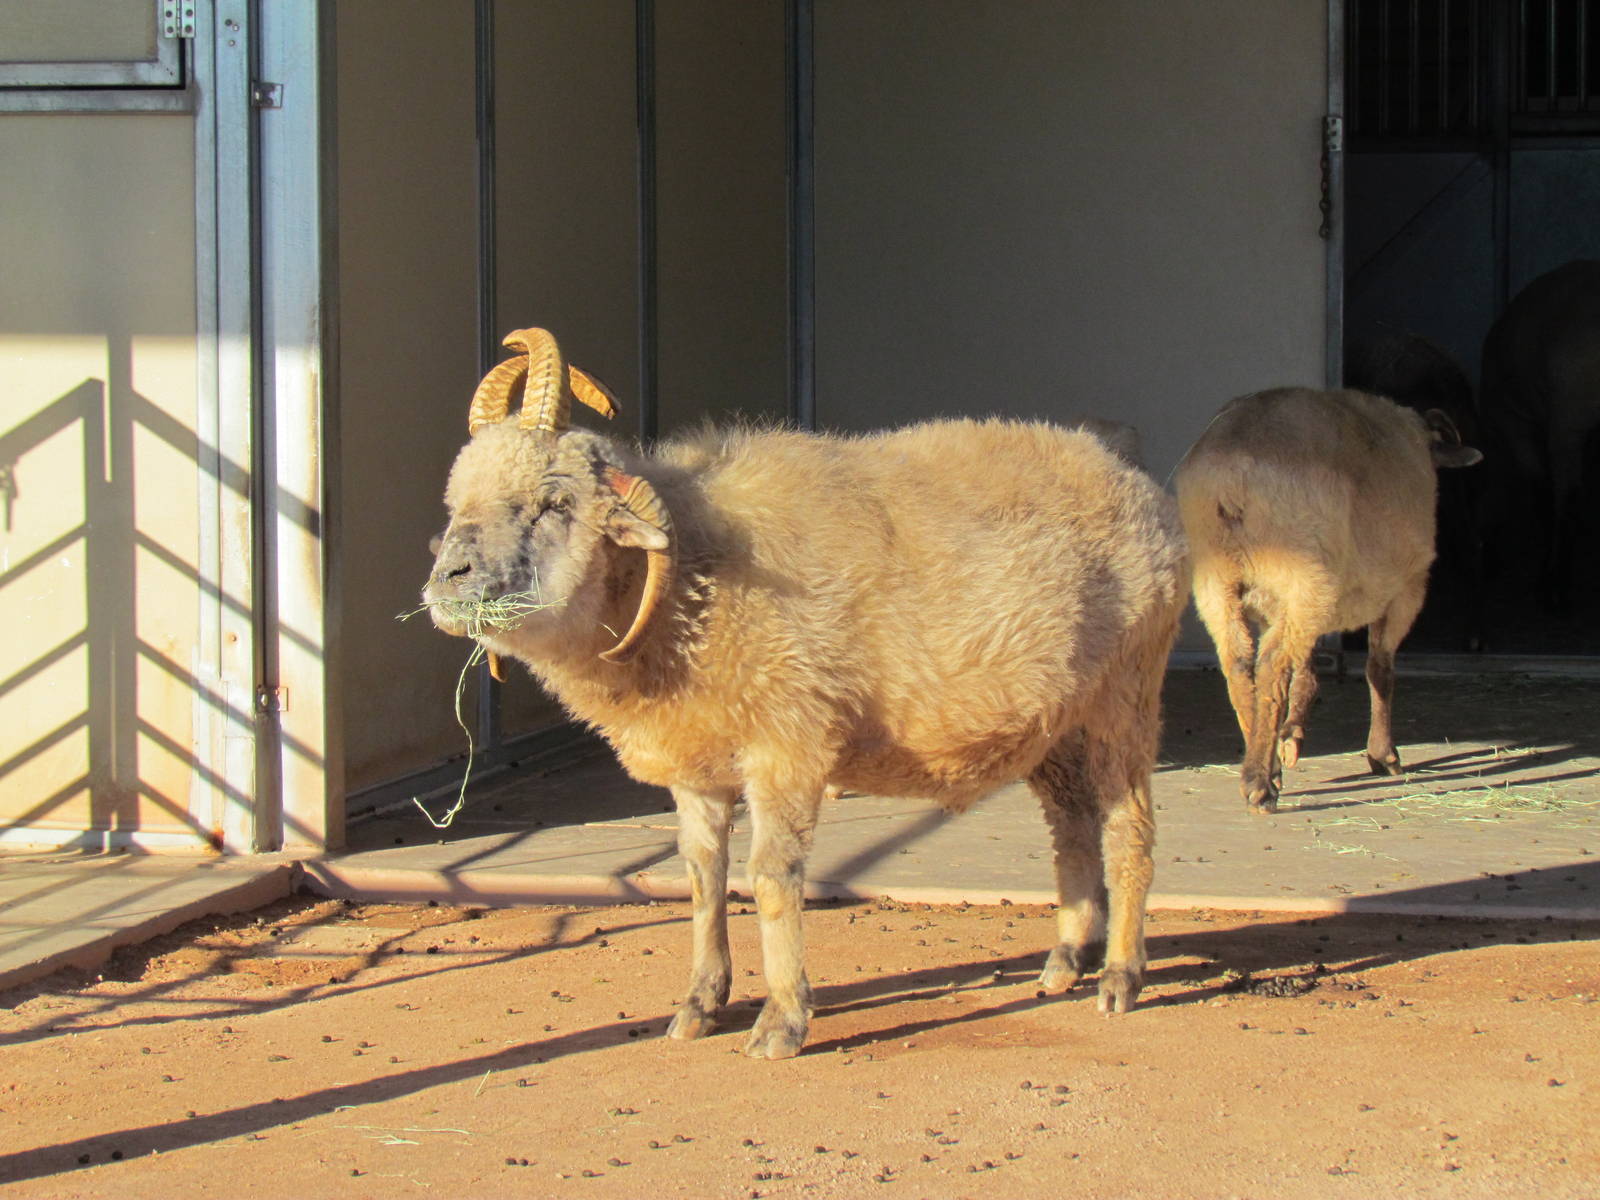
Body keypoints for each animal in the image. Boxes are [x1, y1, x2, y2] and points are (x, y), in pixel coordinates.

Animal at [423, 328, 1190, 1059]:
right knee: (1073, 824)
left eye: (554, 502)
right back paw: (1067, 957)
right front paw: (700, 1003)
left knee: (1128, 827)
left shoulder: (786, 745)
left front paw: (782, 1019)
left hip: (1128, 688)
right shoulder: (699, 769)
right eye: (455, 502)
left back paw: (1121, 976)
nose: (447, 579)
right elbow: (703, 875)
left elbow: (771, 876)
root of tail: (1122, 468)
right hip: (1055, 721)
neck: (689, 580)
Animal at [1173, 387, 1481, 814]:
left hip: (1220, 585)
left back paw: (1265, 764)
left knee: (1240, 666)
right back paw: (1259, 785)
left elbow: (1307, 672)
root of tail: (1229, 476)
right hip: (1301, 574)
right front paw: (1383, 755)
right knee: (1271, 666)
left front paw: (1290, 738)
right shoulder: (1405, 589)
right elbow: (1380, 669)